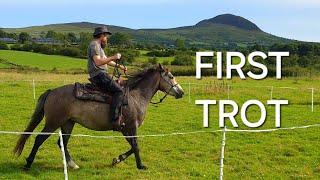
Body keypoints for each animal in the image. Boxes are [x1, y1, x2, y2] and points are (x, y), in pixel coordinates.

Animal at [13, 64, 184, 170]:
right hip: (53, 123)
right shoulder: (131, 126)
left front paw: (117, 159)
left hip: (68, 123)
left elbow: (131, 146)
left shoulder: (125, 129)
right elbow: (136, 146)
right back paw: (28, 163)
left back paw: (72, 165)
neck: (136, 96)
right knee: (39, 139)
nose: (181, 92)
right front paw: (140, 166)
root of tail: (52, 91)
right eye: (170, 76)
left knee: (62, 143)